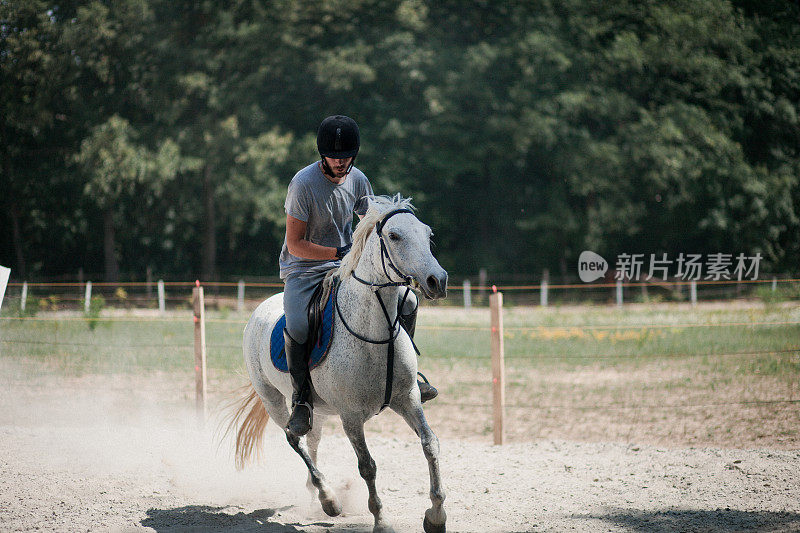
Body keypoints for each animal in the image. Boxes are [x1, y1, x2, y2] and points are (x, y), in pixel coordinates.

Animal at [228, 195, 446, 532]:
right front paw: (381, 521)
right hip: (273, 400)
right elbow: (367, 466)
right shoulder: (351, 417)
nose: (438, 280)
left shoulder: (408, 399)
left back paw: (317, 491)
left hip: (316, 409)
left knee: (312, 439)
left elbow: (429, 444)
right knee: (294, 438)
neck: (375, 333)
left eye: (427, 234)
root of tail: (260, 309)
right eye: (394, 236)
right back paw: (328, 498)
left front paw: (435, 515)